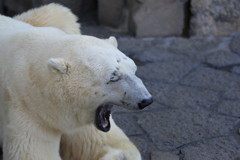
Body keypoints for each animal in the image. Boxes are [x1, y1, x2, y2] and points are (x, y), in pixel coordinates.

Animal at [0, 3, 153, 160]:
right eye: (113, 78)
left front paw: (121, 154)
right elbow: (32, 152)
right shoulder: (25, 108)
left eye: (134, 70)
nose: (146, 100)